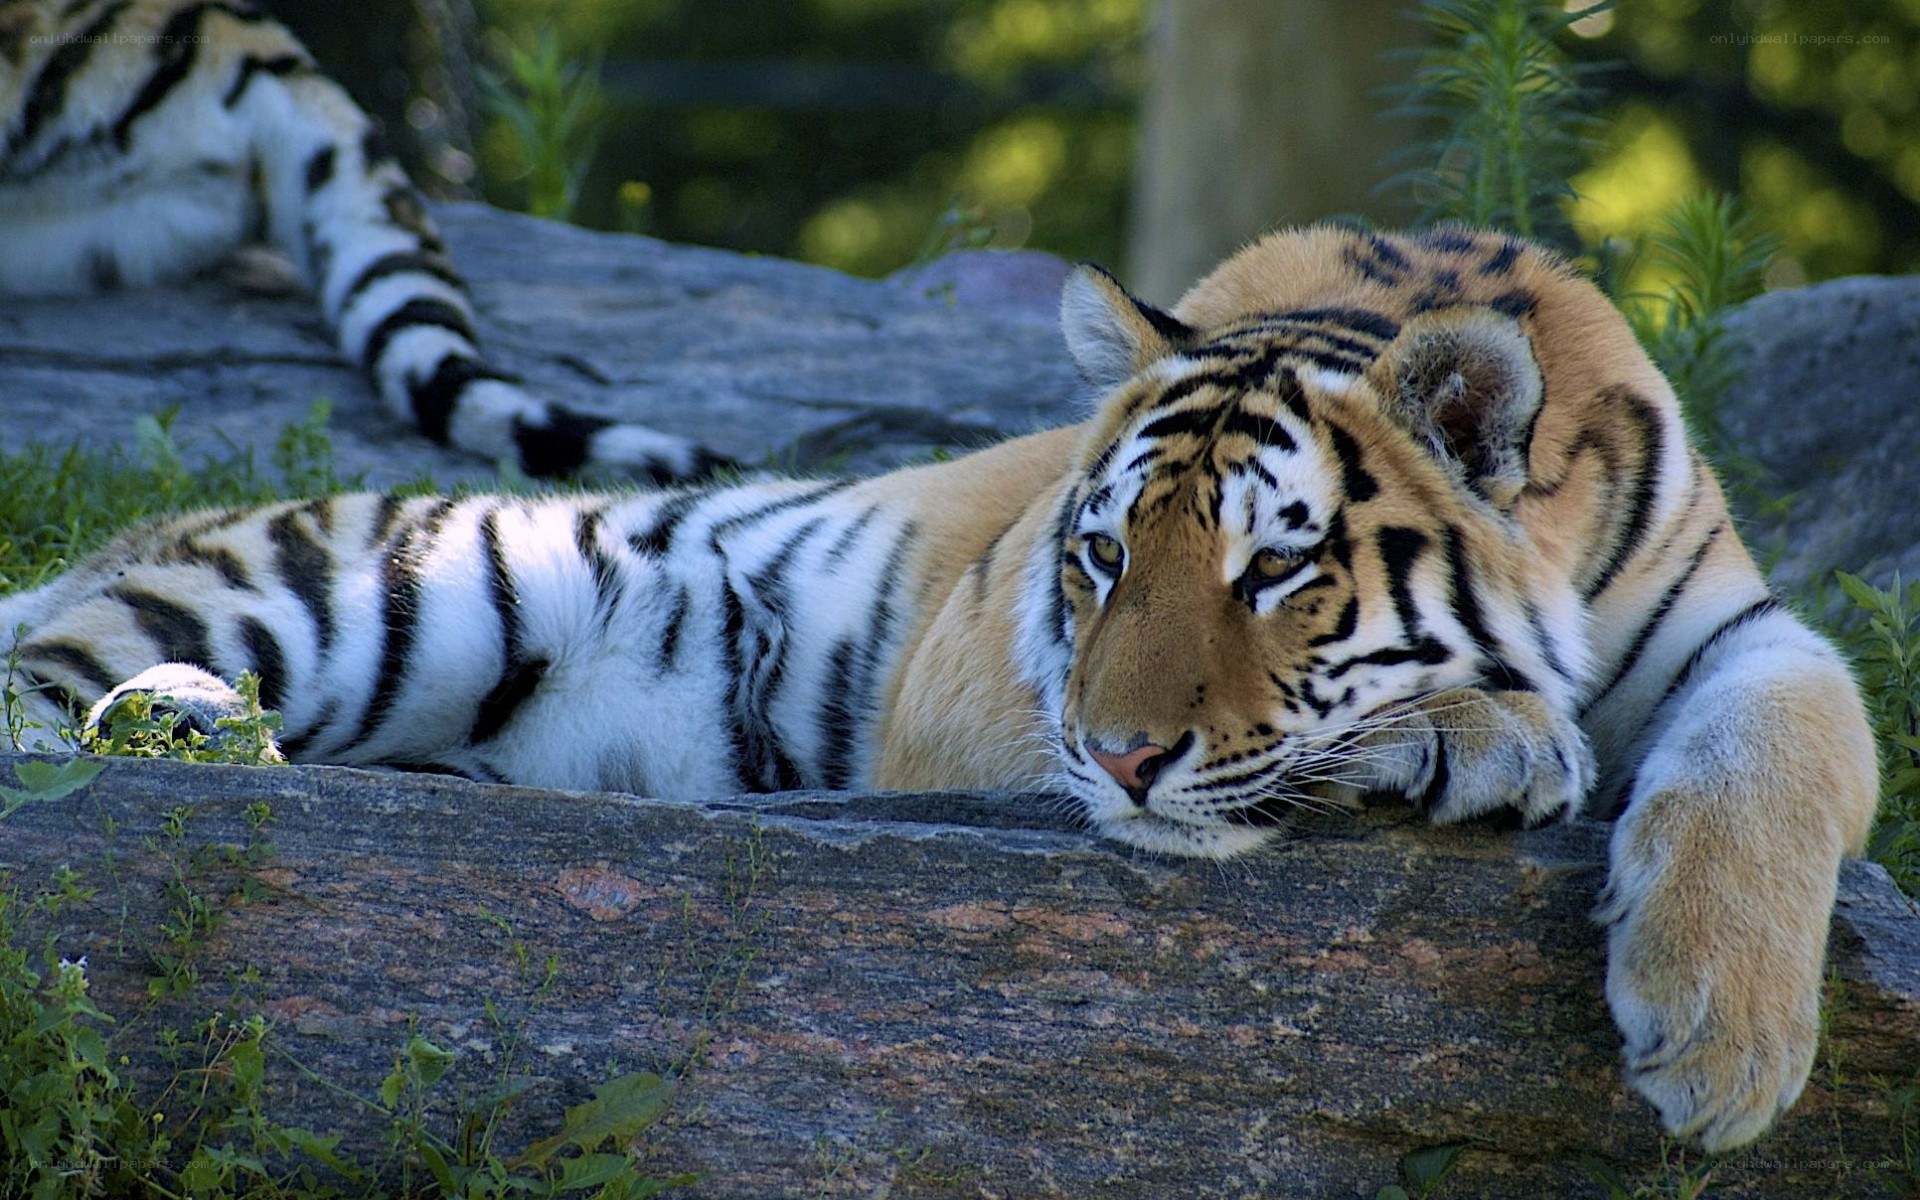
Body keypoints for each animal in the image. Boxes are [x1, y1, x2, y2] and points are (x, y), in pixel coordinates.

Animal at [0, 224, 1878, 1155]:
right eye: (1101, 558)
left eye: (1274, 572)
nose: (1121, 760)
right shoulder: (978, 678)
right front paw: (1487, 737)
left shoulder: (1745, 626)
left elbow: (1796, 741)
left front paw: (1722, 1043)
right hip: (391, 587)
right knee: (56, 694)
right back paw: (189, 722)